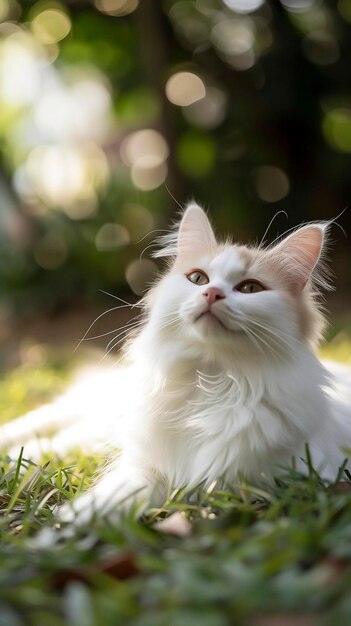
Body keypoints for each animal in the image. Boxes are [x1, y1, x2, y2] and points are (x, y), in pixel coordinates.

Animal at [0, 206, 351, 520]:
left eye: (250, 288)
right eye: (198, 278)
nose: (211, 294)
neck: (212, 382)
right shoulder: (146, 460)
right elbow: (120, 488)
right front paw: (74, 520)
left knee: (66, 438)